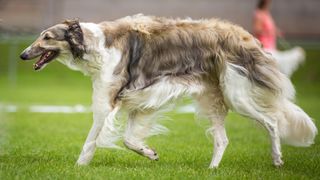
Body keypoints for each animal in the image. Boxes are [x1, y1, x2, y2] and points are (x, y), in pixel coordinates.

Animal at [20, 14, 318, 169]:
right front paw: (150, 153)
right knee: (222, 140)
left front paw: (78, 168)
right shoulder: (140, 102)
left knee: (272, 121)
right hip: (212, 99)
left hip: (238, 95)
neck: (95, 44)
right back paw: (212, 169)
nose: (23, 55)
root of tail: (246, 37)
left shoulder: (107, 102)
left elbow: (91, 141)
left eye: (47, 37)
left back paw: (277, 159)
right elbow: (129, 140)